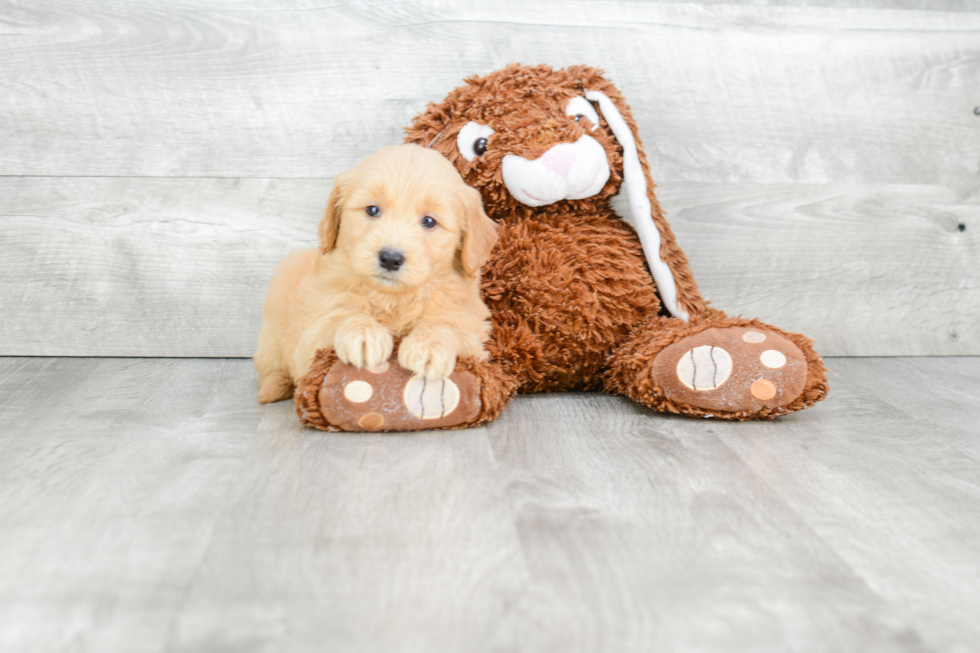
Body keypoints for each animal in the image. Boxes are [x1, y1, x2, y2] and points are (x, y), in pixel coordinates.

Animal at [253, 144, 498, 402]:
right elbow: (342, 313)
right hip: (275, 312)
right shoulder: (310, 341)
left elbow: (448, 324)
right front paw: (363, 335)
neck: (392, 299)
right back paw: (273, 387)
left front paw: (428, 346)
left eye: (429, 221)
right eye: (372, 210)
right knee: (270, 367)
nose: (390, 258)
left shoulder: (474, 338)